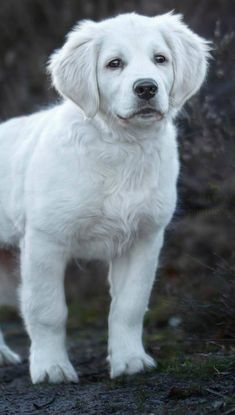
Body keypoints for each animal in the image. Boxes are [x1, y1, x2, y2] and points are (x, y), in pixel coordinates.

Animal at [0, 12, 209, 384]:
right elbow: (47, 309)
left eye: (160, 59)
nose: (146, 88)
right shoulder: (45, 240)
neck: (122, 147)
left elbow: (129, 305)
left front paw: (130, 361)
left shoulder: (144, 238)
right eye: (114, 64)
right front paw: (51, 368)